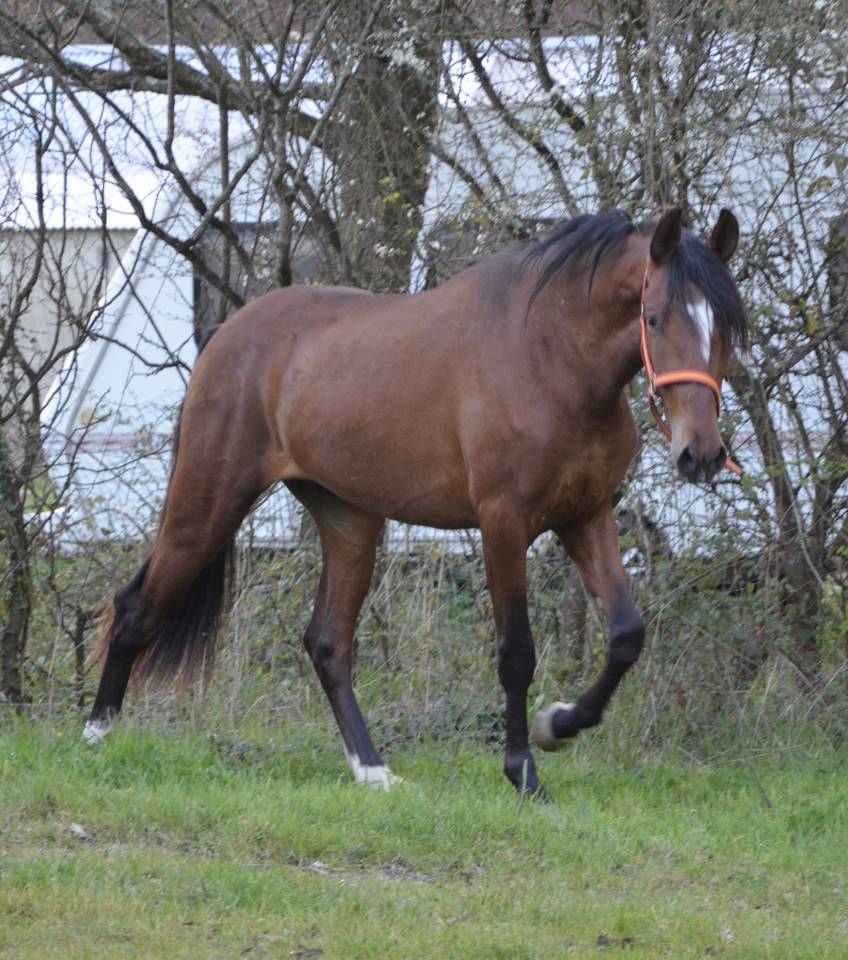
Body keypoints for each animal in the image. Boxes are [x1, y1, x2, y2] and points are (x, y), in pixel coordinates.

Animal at [83, 206, 748, 799]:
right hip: (209, 502)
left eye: (726, 327)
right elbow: (516, 654)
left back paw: (374, 772)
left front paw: (558, 725)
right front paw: (523, 774)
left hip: (349, 520)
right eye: (654, 318)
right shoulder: (504, 524)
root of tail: (225, 338)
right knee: (135, 608)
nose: (701, 454)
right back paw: (95, 737)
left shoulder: (587, 516)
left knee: (327, 644)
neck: (550, 359)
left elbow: (626, 635)